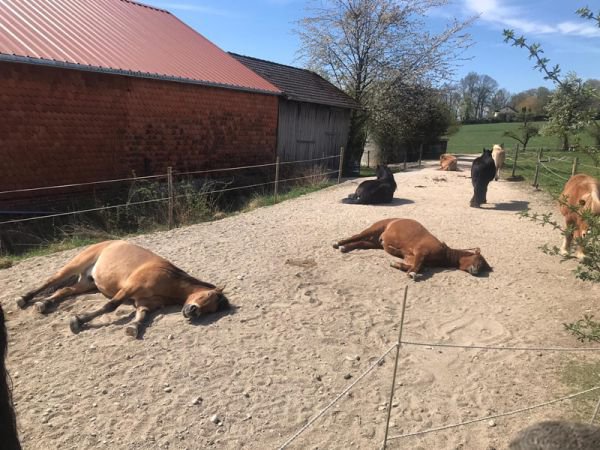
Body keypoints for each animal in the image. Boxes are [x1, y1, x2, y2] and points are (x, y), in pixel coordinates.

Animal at [16, 240, 228, 338]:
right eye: (207, 295)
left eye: (211, 310)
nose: (192, 312)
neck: (170, 281)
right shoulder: (129, 289)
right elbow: (110, 306)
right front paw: (77, 321)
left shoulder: (144, 303)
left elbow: (142, 316)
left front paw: (133, 328)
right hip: (74, 265)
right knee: (50, 281)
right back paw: (24, 299)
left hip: (87, 283)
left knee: (64, 291)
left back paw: (44, 304)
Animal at [333, 218, 491, 279]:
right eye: (479, 260)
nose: (476, 272)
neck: (443, 252)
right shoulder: (421, 252)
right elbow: (417, 266)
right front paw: (412, 273)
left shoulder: (410, 257)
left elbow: (415, 266)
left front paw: (396, 264)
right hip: (374, 229)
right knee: (356, 236)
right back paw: (338, 243)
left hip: (374, 243)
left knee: (359, 243)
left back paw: (345, 247)